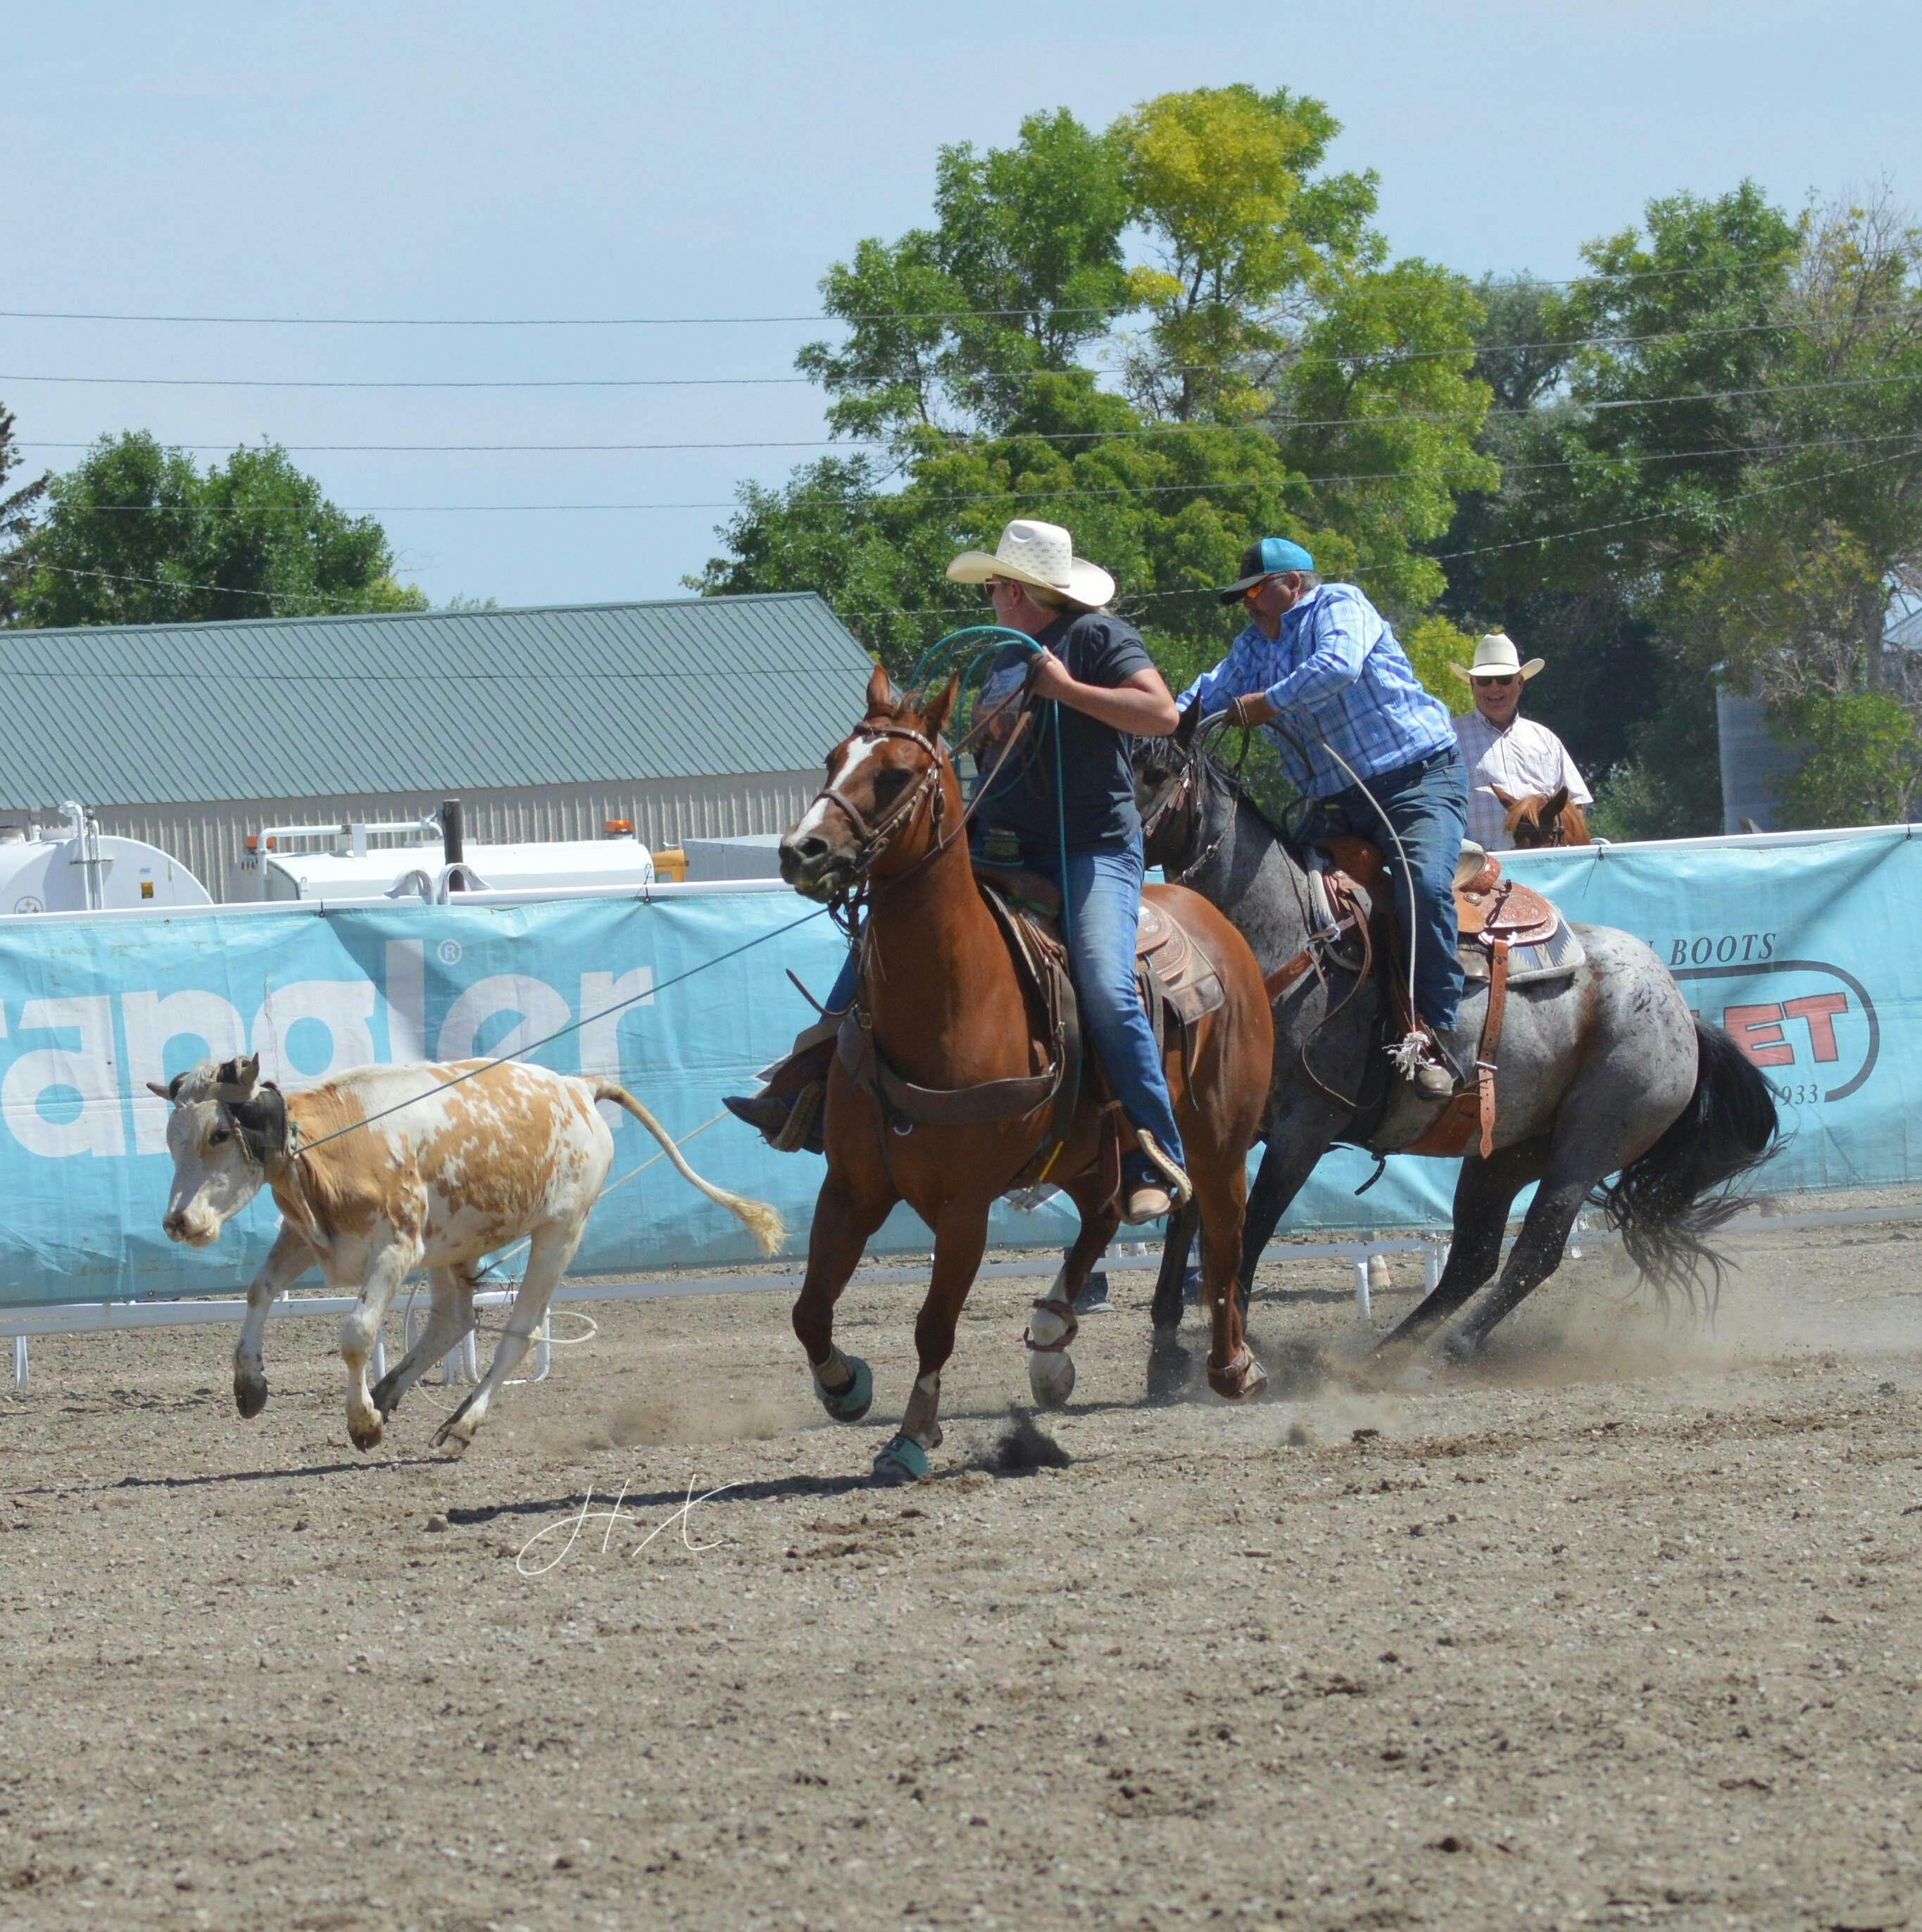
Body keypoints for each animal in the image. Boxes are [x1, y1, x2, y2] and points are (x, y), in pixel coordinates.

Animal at [152, 1054, 783, 1452]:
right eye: (172, 1139)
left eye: (218, 1133)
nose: (178, 1222)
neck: (340, 1143)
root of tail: (578, 1087)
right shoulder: (307, 1238)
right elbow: (259, 1290)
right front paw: (250, 1384)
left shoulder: (396, 1248)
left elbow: (356, 1334)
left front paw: (362, 1422)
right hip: (454, 1246)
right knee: (452, 1323)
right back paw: (393, 1392)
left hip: (560, 1233)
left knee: (516, 1336)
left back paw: (461, 1423)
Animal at [776, 666, 1275, 1480]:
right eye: (832, 759)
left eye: (896, 775)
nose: (802, 850)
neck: (949, 998)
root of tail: (1217, 923)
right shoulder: (850, 1187)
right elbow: (810, 1308)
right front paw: (846, 1387)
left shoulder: (965, 1208)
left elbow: (935, 1324)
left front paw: (911, 1437)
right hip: (1088, 1148)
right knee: (1104, 1214)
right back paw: (1049, 1345)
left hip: (1220, 1141)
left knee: (1226, 1238)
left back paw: (1232, 1366)